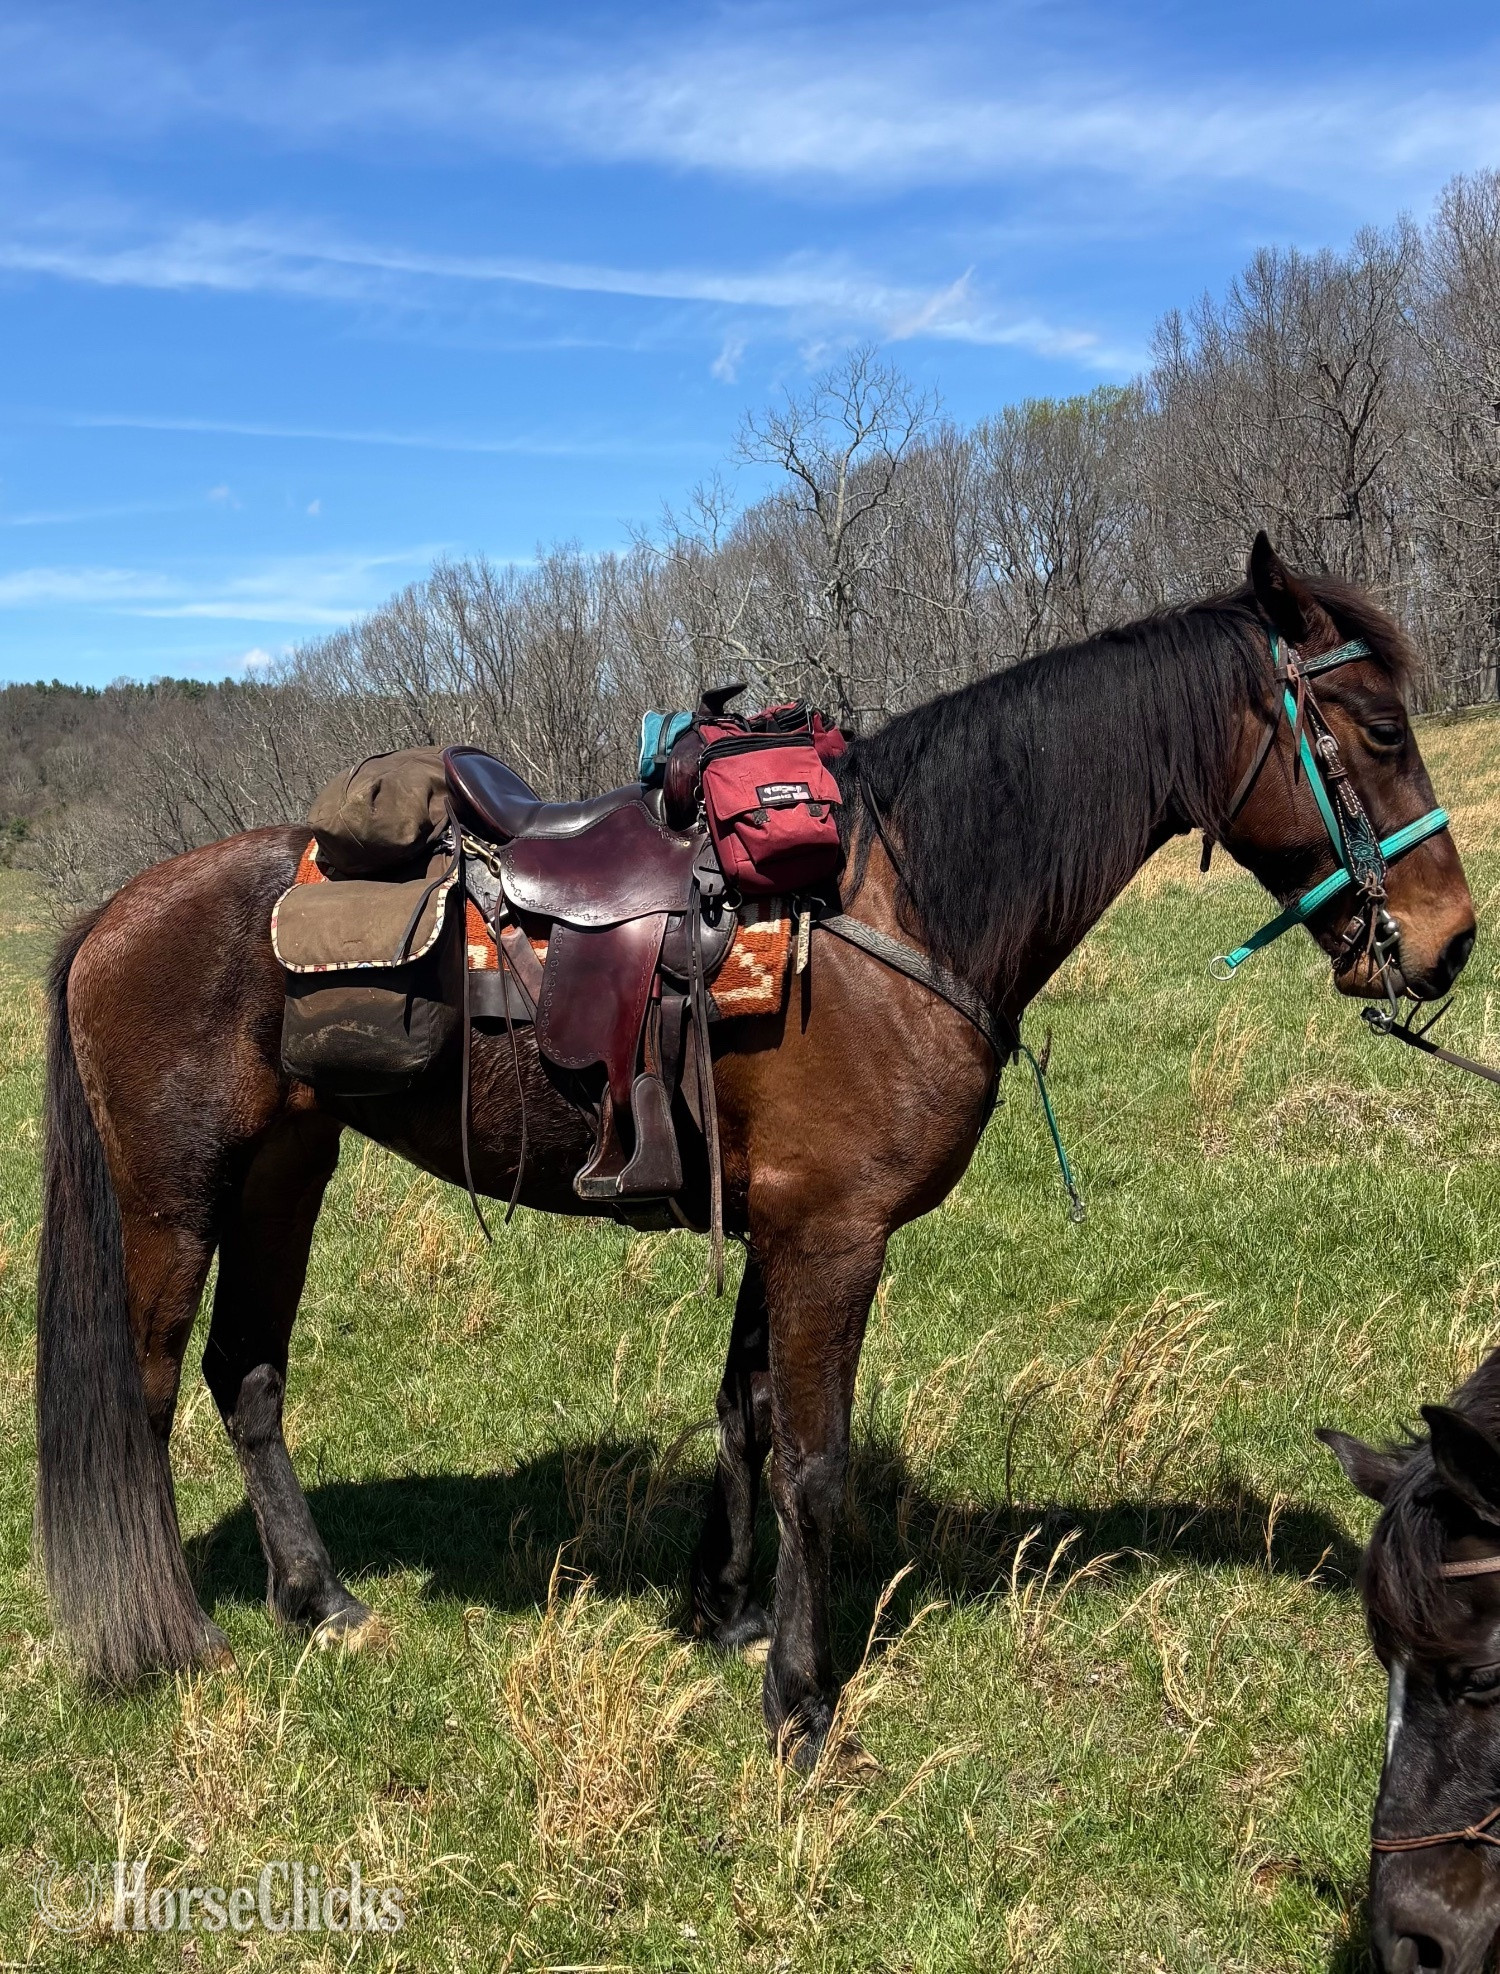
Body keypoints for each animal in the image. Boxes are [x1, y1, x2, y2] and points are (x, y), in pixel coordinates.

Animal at [37, 534, 1475, 1766]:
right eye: (1380, 729)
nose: (1450, 937)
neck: (894, 904)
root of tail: (113, 911)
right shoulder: (833, 1235)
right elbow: (815, 1465)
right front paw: (800, 1700)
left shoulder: (779, 1218)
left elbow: (748, 1414)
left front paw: (722, 1608)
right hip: (175, 1196)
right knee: (150, 1397)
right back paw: (179, 1633)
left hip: (286, 1173)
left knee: (248, 1375)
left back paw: (320, 1599)